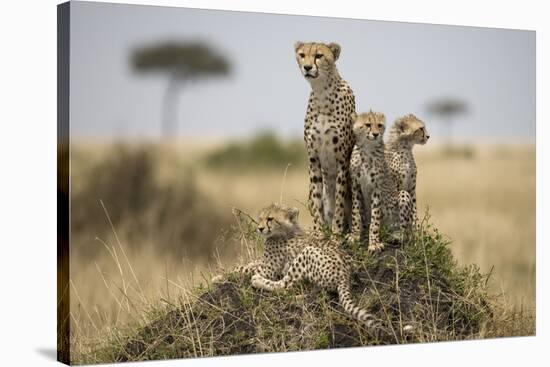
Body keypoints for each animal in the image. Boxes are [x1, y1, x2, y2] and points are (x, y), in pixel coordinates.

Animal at [296, 41, 356, 236]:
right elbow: (317, 200)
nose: (307, 67)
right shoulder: (313, 158)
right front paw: (319, 231)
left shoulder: (342, 160)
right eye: (302, 55)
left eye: (319, 56)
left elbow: (339, 198)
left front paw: (336, 231)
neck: (322, 91)